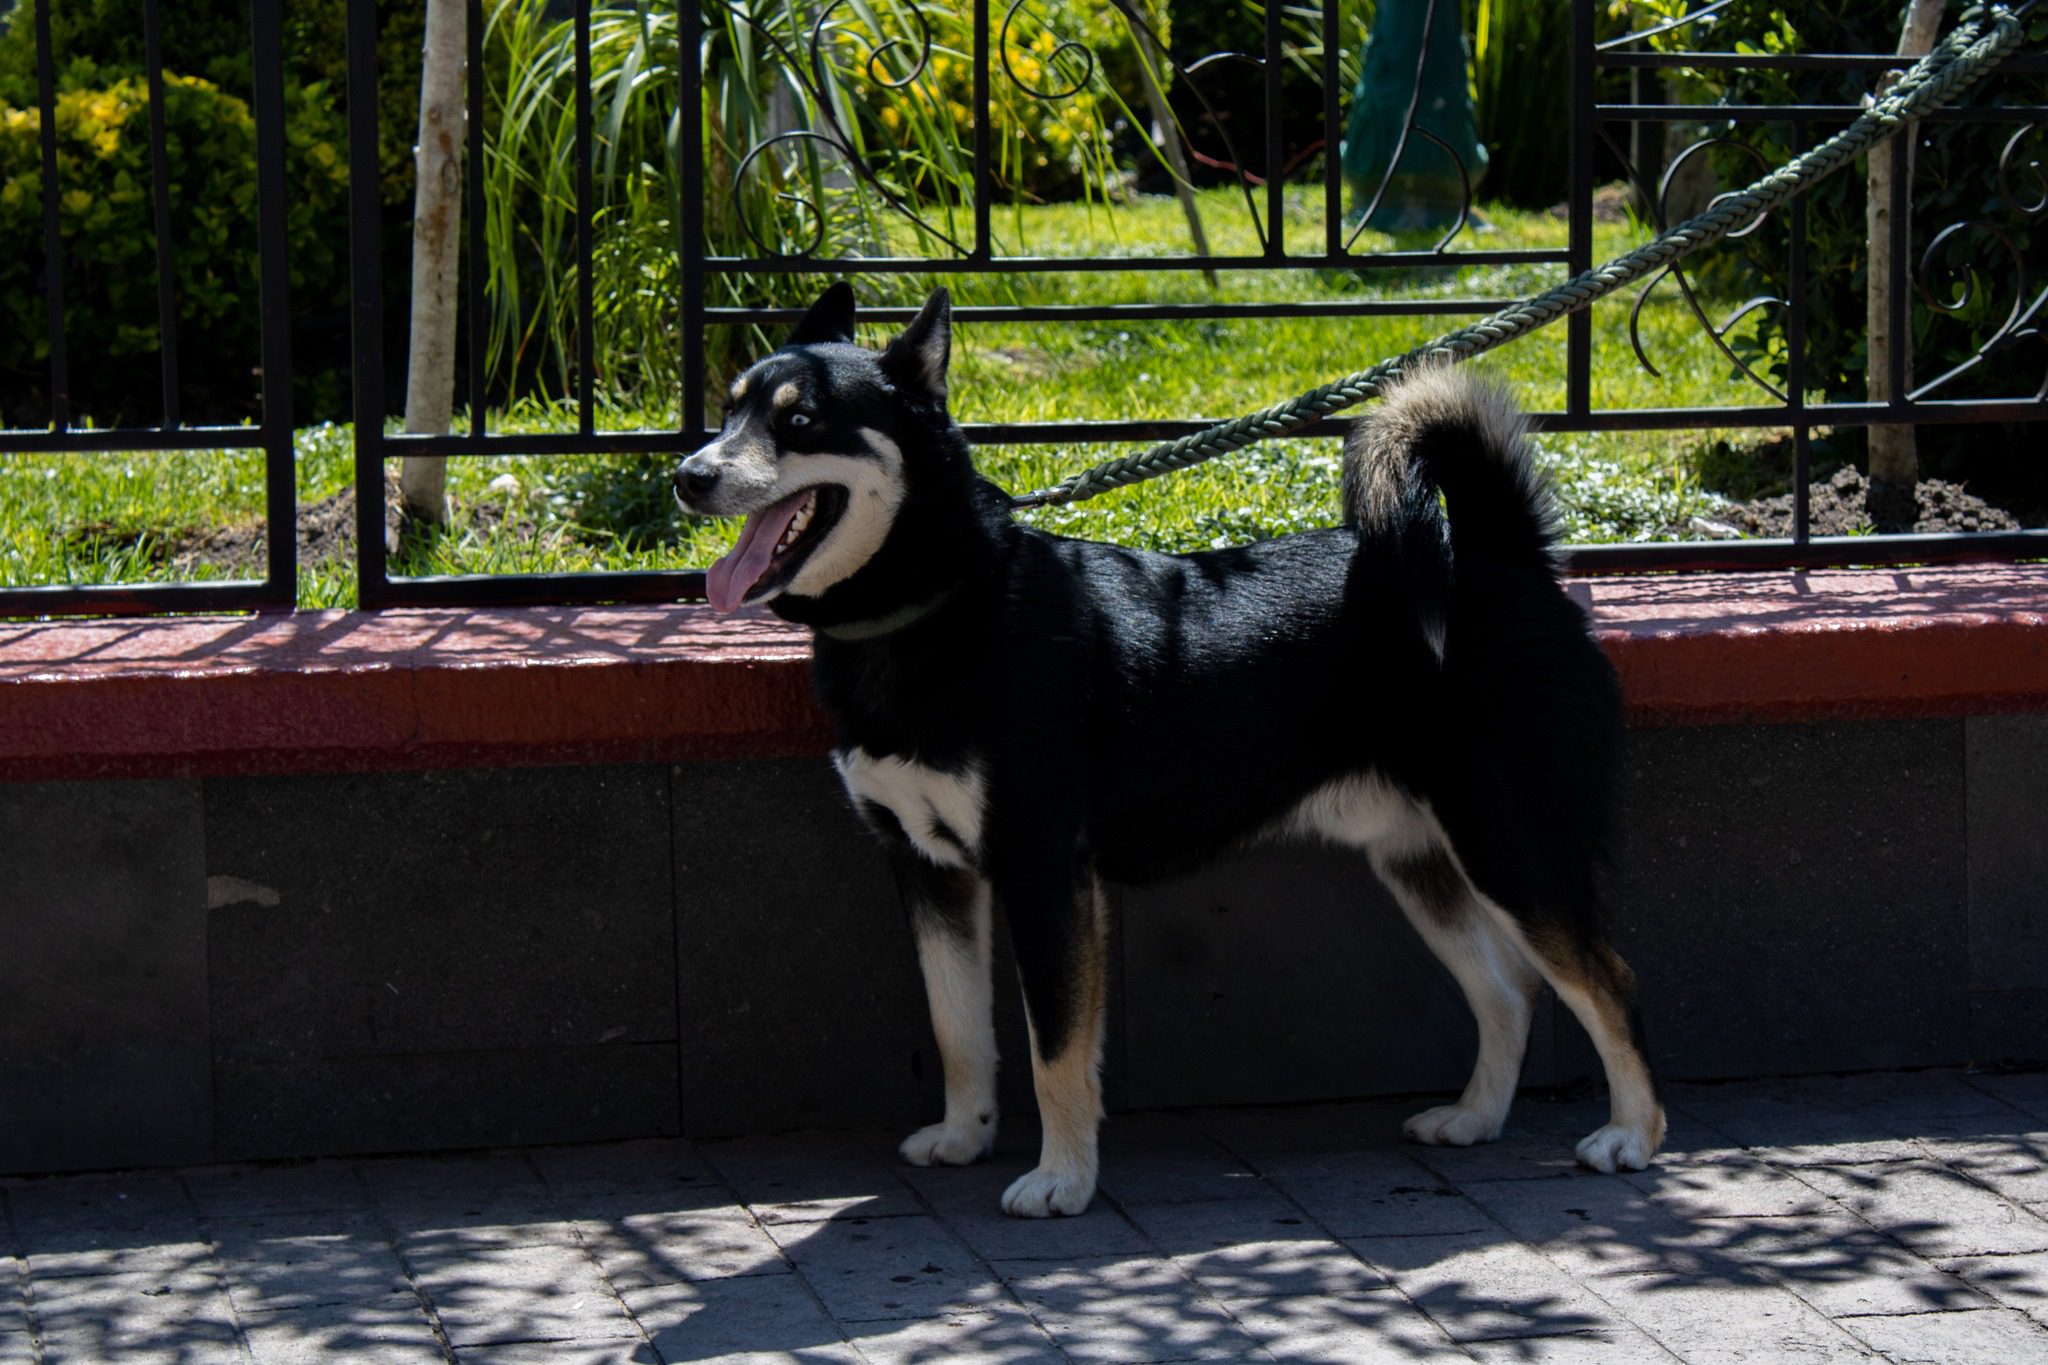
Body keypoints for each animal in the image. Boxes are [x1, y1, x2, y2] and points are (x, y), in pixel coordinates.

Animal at [671, 286, 1662, 1219]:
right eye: (726, 412)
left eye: (799, 422)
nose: (688, 474)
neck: (940, 605)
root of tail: (1501, 556)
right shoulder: (929, 871)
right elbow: (959, 1029)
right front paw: (965, 1133)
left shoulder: (1045, 874)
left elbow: (1056, 1049)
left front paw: (1063, 1179)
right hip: (1423, 861)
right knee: (1509, 991)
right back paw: (1478, 1116)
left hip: (1513, 843)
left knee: (1608, 981)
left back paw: (1632, 1134)